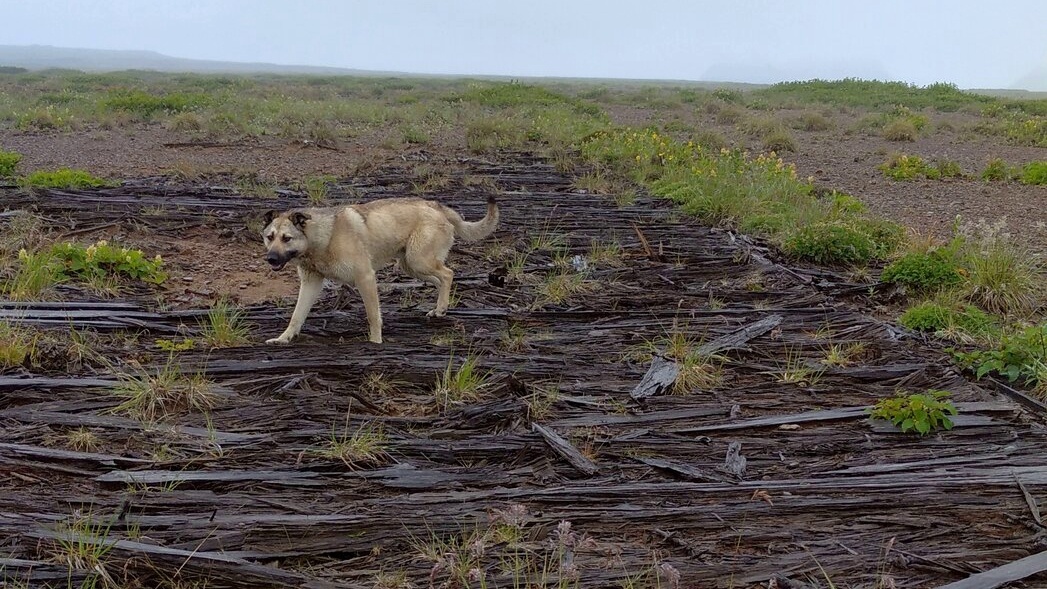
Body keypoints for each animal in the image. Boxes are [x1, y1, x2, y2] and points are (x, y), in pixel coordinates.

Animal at [256, 195, 494, 343]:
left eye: (286, 238)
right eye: (270, 237)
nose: (270, 258)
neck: (323, 238)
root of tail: (436, 204)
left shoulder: (365, 278)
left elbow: (373, 316)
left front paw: (376, 342)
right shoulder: (310, 283)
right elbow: (296, 316)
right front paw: (283, 339)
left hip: (418, 260)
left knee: (448, 274)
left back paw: (442, 307)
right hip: (411, 266)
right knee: (441, 279)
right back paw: (439, 309)